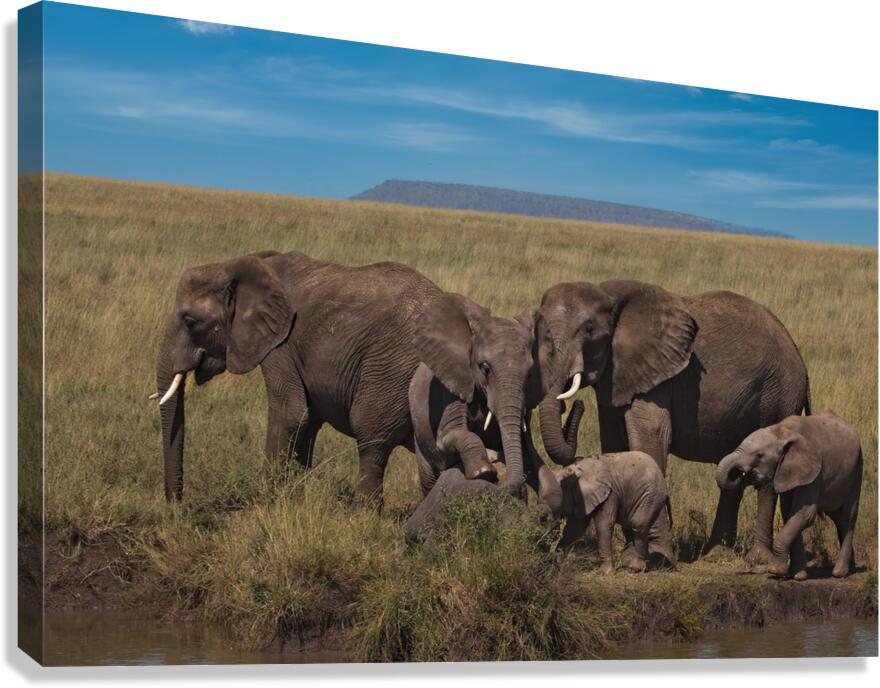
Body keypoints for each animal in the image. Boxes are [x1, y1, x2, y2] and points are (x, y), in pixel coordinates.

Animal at [153, 250, 444, 501]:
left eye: (190, 322)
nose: (176, 504)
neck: (240, 265)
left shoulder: (281, 346)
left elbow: (290, 414)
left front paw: (267, 501)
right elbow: (309, 420)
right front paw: (296, 494)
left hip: (391, 370)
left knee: (371, 438)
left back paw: (364, 513)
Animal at [536, 452, 670, 573]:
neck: (579, 469)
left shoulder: (610, 493)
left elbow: (603, 524)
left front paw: (605, 572)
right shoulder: (584, 498)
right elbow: (575, 529)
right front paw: (557, 562)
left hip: (651, 496)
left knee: (638, 525)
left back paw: (634, 568)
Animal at [715, 411, 862, 580]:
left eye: (759, 455)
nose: (739, 473)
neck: (781, 431)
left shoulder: (814, 471)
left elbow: (804, 513)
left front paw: (775, 571)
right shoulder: (787, 472)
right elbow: (789, 513)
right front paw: (798, 575)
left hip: (856, 472)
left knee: (847, 518)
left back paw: (840, 573)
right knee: (839, 520)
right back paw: (851, 569)